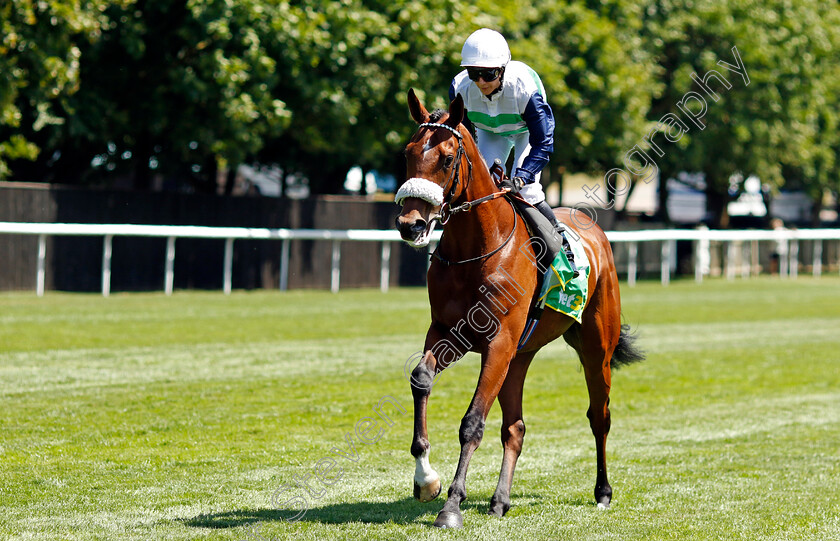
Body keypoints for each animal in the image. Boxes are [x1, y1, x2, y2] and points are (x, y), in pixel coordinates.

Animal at [394, 89, 644, 528]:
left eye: (446, 159)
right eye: (407, 153)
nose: (411, 225)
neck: (477, 248)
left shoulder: (498, 342)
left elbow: (472, 423)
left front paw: (452, 506)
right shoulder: (448, 332)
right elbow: (421, 377)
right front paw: (426, 480)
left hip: (595, 347)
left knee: (600, 416)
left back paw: (602, 491)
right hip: (520, 357)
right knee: (515, 428)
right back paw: (500, 500)